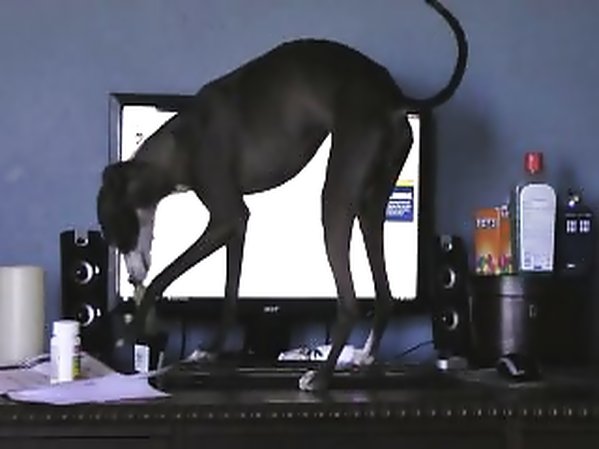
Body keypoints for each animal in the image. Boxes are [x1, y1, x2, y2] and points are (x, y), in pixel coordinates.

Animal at [97, 0, 467, 391]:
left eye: (116, 232)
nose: (131, 281)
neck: (179, 142)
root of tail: (393, 98)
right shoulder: (236, 227)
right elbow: (229, 296)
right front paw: (210, 350)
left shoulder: (226, 216)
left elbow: (163, 277)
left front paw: (133, 328)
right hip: (371, 205)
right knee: (382, 294)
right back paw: (364, 357)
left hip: (335, 198)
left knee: (350, 301)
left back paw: (322, 376)